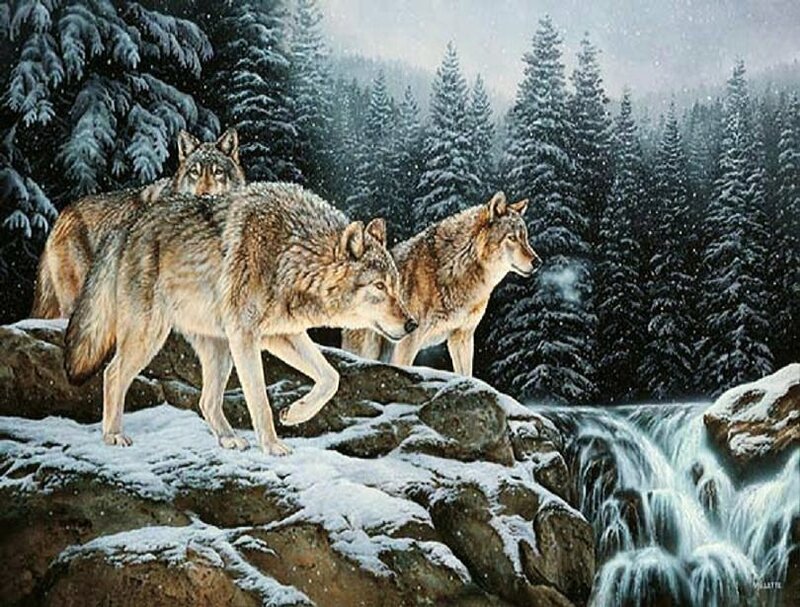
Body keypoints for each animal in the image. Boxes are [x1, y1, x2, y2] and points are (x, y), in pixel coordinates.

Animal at [64, 182, 417, 455]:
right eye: (379, 286)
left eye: (397, 285)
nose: (412, 324)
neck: (289, 254)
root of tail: (128, 225)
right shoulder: (245, 335)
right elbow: (259, 400)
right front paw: (273, 446)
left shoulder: (280, 334)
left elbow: (331, 378)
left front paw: (294, 414)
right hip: (151, 336)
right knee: (112, 374)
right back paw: (112, 434)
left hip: (218, 350)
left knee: (206, 401)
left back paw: (229, 439)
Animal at [342, 192, 540, 376]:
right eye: (512, 238)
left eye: (525, 238)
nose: (537, 262)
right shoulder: (410, 339)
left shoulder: (462, 337)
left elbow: (466, 375)